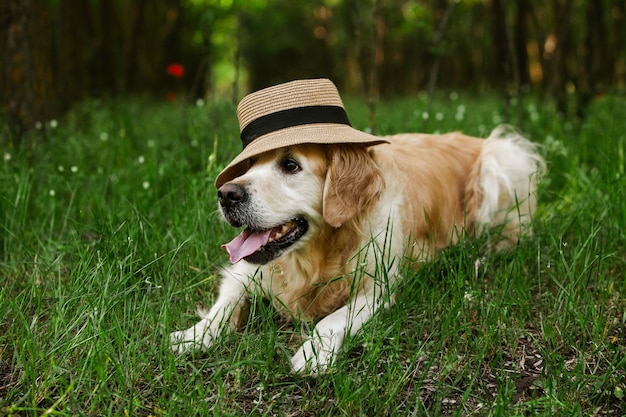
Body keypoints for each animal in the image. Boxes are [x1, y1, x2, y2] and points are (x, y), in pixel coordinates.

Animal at [169, 78, 540, 374]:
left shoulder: (378, 285)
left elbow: (333, 319)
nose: (226, 195)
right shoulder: (244, 271)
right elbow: (224, 305)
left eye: (290, 165)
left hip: (502, 160)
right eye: (249, 165)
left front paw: (314, 352)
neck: (316, 256)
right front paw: (193, 336)